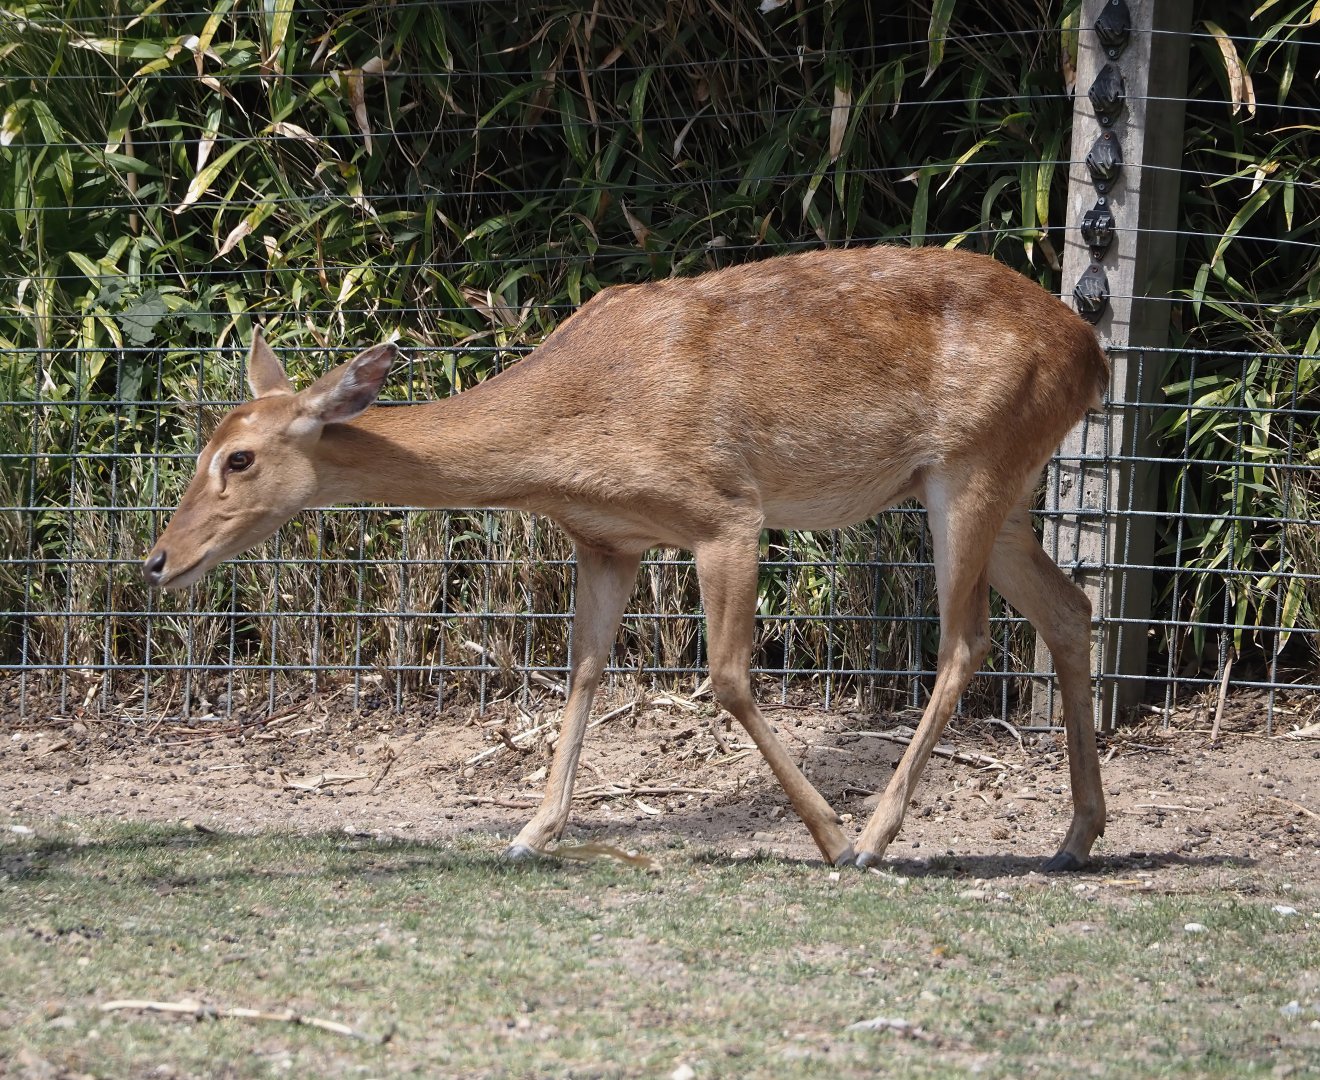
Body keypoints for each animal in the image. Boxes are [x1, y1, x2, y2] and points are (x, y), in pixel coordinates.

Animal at [143, 245, 1109, 872]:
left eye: (238, 459)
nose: (157, 561)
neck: (573, 431)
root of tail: (1095, 357)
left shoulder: (727, 513)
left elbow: (726, 678)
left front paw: (831, 838)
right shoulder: (606, 541)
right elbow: (581, 671)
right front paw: (530, 833)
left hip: (972, 467)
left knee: (965, 642)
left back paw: (877, 839)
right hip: (1006, 486)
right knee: (1070, 607)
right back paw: (1074, 838)